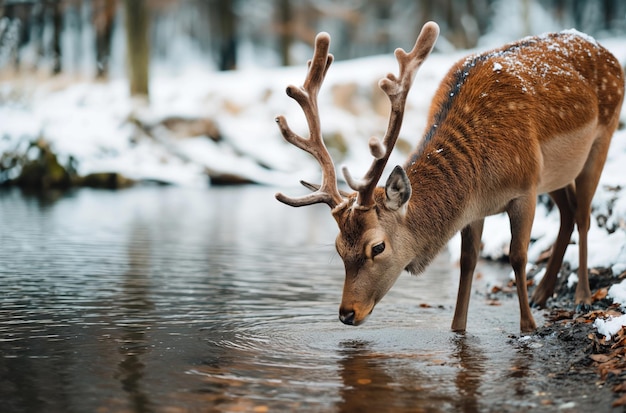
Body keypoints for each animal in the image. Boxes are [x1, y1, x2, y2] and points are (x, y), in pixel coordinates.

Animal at [276, 20, 620, 334]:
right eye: (338, 247)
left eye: (377, 247)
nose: (347, 313)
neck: (482, 178)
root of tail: (609, 54)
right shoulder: (476, 209)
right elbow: (468, 262)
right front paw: (458, 328)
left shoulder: (525, 187)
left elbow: (517, 255)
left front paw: (528, 326)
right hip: (554, 175)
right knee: (567, 212)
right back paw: (542, 293)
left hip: (601, 139)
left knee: (583, 215)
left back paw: (582, 297)